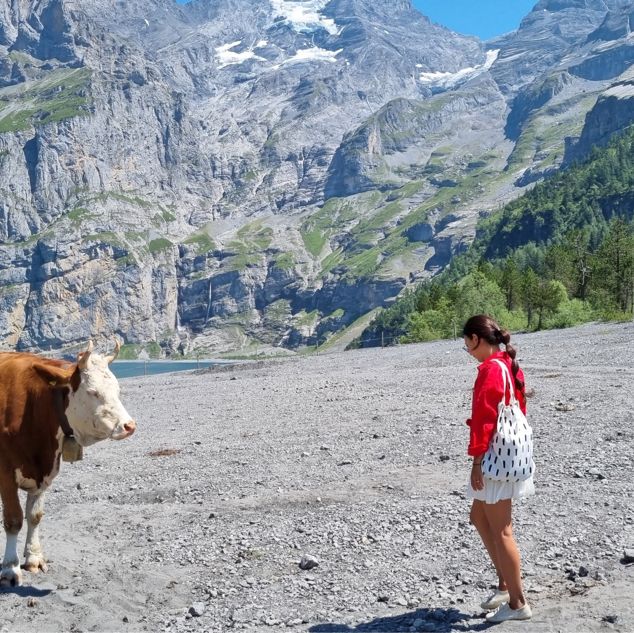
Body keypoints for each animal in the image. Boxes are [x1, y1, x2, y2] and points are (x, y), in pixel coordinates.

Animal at [0, 344, 135, 584]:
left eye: (117, 389)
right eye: (92, 392)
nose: (129, 426)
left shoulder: (44, 470)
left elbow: (34, 516)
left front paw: (34, 558)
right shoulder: (6, 472)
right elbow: (14, 519)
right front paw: (10, 568)